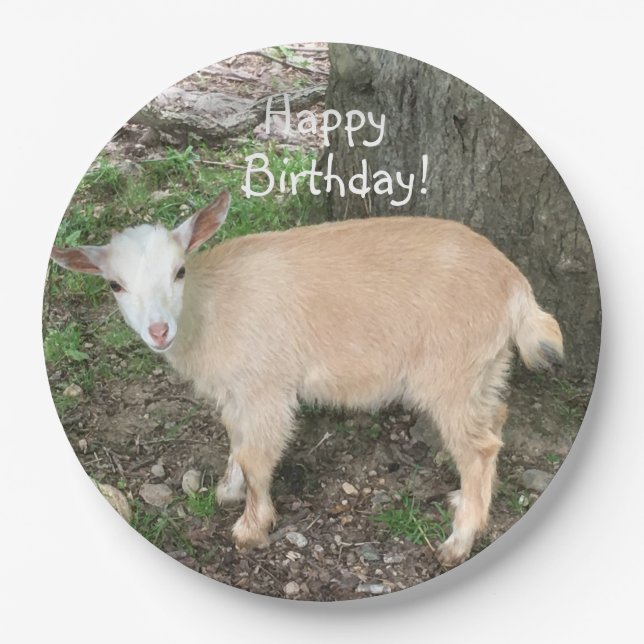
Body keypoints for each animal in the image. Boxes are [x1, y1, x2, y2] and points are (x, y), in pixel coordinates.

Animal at [51, 189, 563, 567]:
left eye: (179, 271)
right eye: (114, 285)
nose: (159, 331)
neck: (209, 308)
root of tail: (516, 288)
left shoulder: (266, 386)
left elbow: (257, 456)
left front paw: (251, 528)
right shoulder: (239, 391)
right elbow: (236, 438)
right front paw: (228, 490)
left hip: (450, 371)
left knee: (477, 447)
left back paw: (457, 543)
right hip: (484, 367)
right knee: (496, 421)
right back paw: (464, 501)